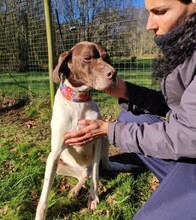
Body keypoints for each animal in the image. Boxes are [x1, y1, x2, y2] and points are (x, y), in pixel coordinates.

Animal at [34, 41, 135, 220]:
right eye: (88, 58)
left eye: (106, 57)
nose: (114, 73)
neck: (78, 101)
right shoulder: (55, 153)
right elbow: (45, 192)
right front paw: (40, 215)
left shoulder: (96, 142)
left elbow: (95, 176)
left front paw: (93, 198)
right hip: (57, 163)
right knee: (82, 177)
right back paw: (75, 189)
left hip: (105, 140)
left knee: (102, 168)